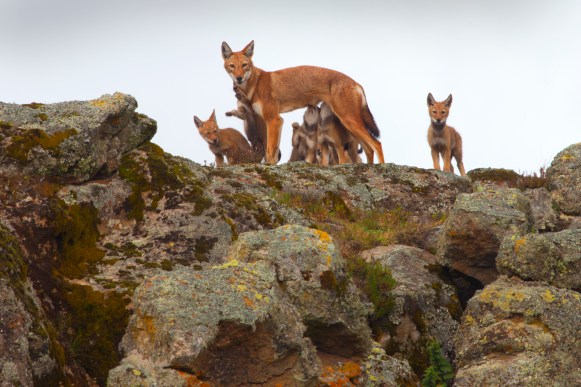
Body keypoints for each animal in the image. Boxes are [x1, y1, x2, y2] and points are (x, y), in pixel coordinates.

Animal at [220, 40, 382, 164]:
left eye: (244, 65)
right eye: (232, 66)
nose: (239, 78)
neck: (255, 84)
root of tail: (356, 83)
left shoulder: (273, 120)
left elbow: (270, 150)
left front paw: (269, 166)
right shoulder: (279, 121)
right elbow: (274, 151)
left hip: (349, 121)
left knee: (377, 144)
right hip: (349, 126)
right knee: (369, 149)